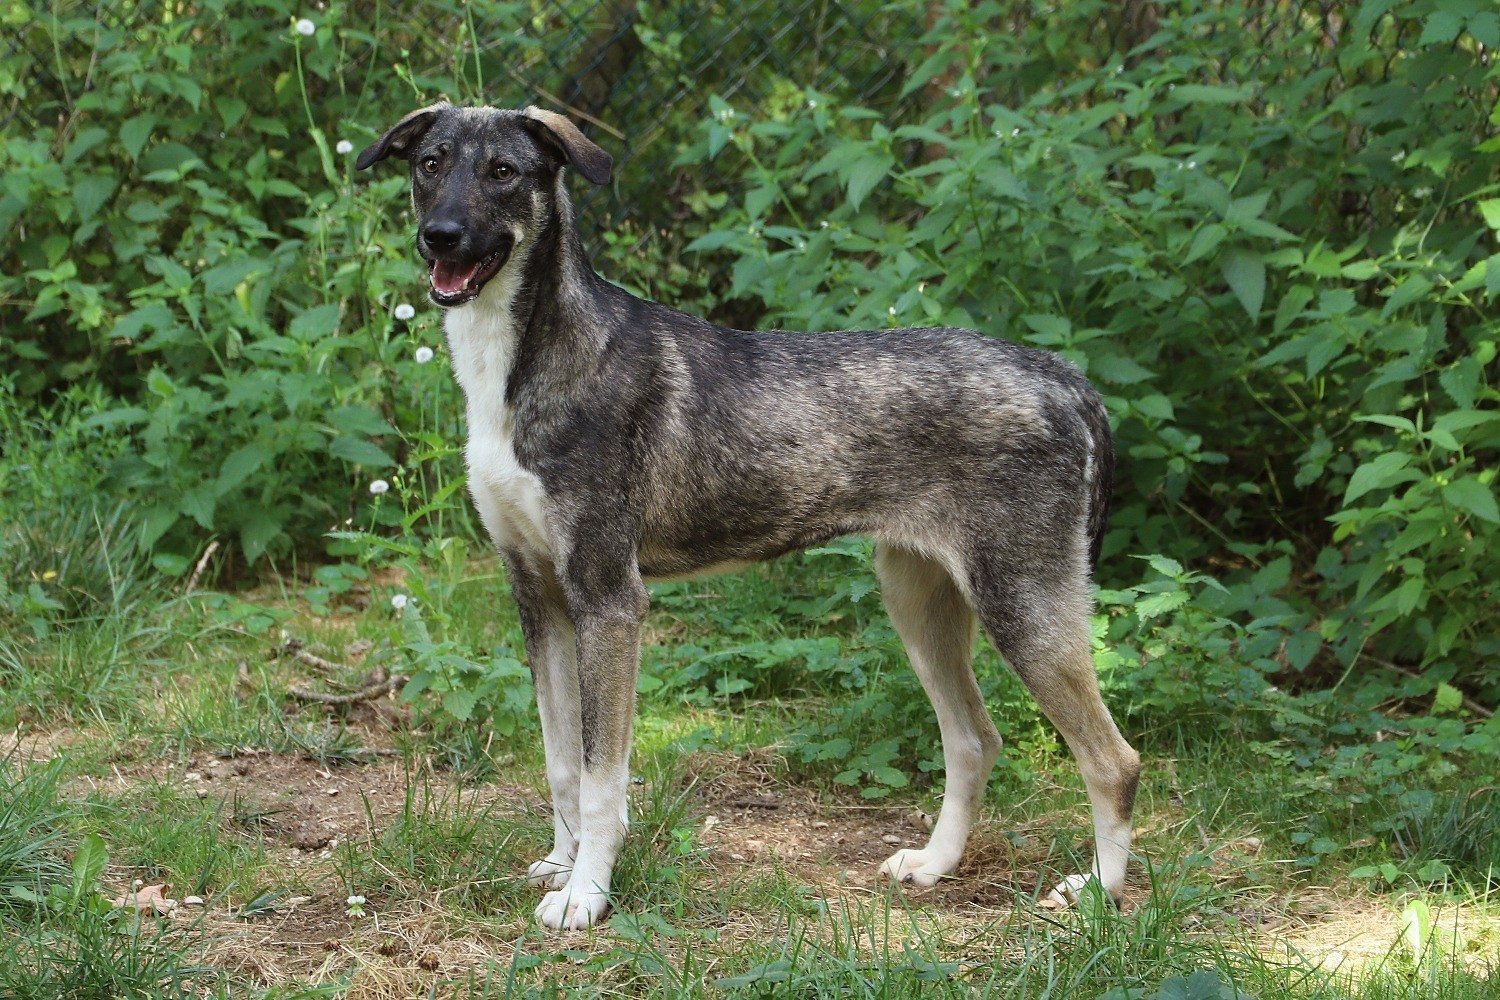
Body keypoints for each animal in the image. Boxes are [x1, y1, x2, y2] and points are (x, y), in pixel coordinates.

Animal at [357, 101, 1140, 929]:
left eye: (503, 171)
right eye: (431, 163)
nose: (439, 235)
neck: (523, 365)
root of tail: (1060, 374)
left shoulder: (608, 601)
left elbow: (603, 780)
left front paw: (588, 898)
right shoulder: (539, 598)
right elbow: (562, 763)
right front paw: (562, 867)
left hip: (1023, 607)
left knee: (1112, 762)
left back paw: (1095, 895)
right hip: (918, 600)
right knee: (973, 742)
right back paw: (934, 864)